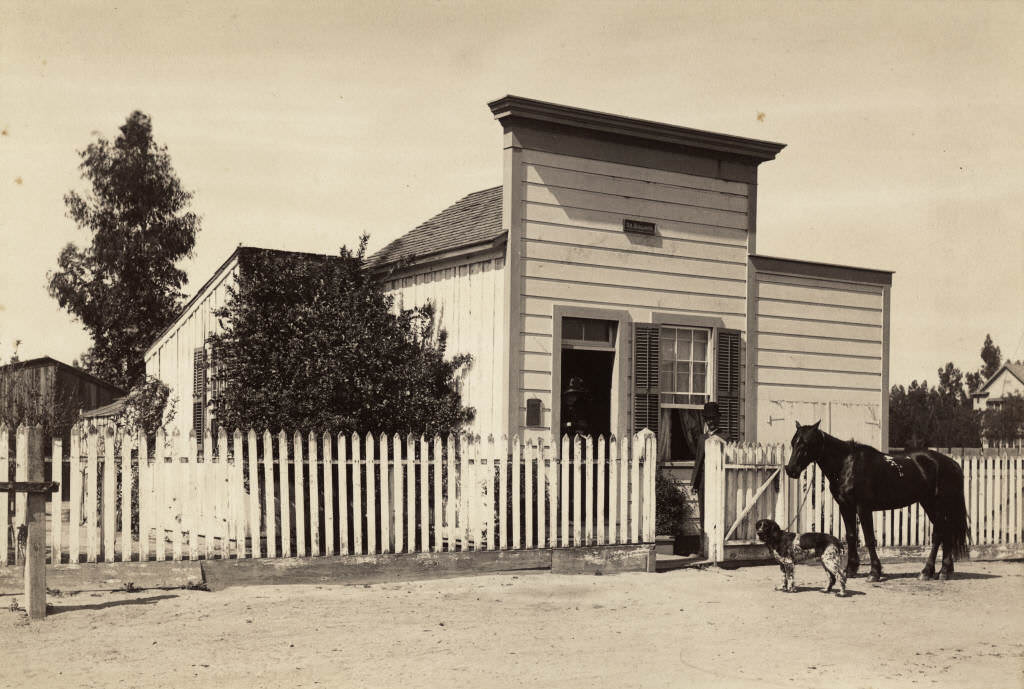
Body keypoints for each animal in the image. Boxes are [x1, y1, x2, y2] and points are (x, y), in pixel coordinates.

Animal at [782, 419, 966, 581]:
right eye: (793, 442)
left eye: (805, 443)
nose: (791, 470)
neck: (847, 465)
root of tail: (952, 464)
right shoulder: (845, 507)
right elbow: (851, 536)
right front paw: (850, 570)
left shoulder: (863, 507)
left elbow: (869, 538)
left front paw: (874, 572)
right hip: (930, 504)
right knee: (946, 532)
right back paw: (944, 571)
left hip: (937, 505)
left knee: (938, 534)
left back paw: (927, 571)